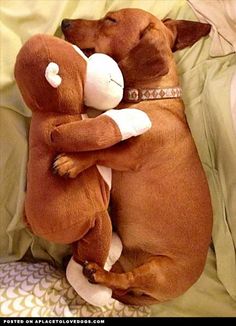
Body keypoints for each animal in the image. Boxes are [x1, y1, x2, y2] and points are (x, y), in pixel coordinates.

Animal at [54, 9, 212, 306]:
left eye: (111, 20)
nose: (65, 22)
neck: (152, 99)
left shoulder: (130, 155)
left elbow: (101, 150)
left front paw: (71, 161)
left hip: (157, 270)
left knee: (125, 281)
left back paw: (98, 273)